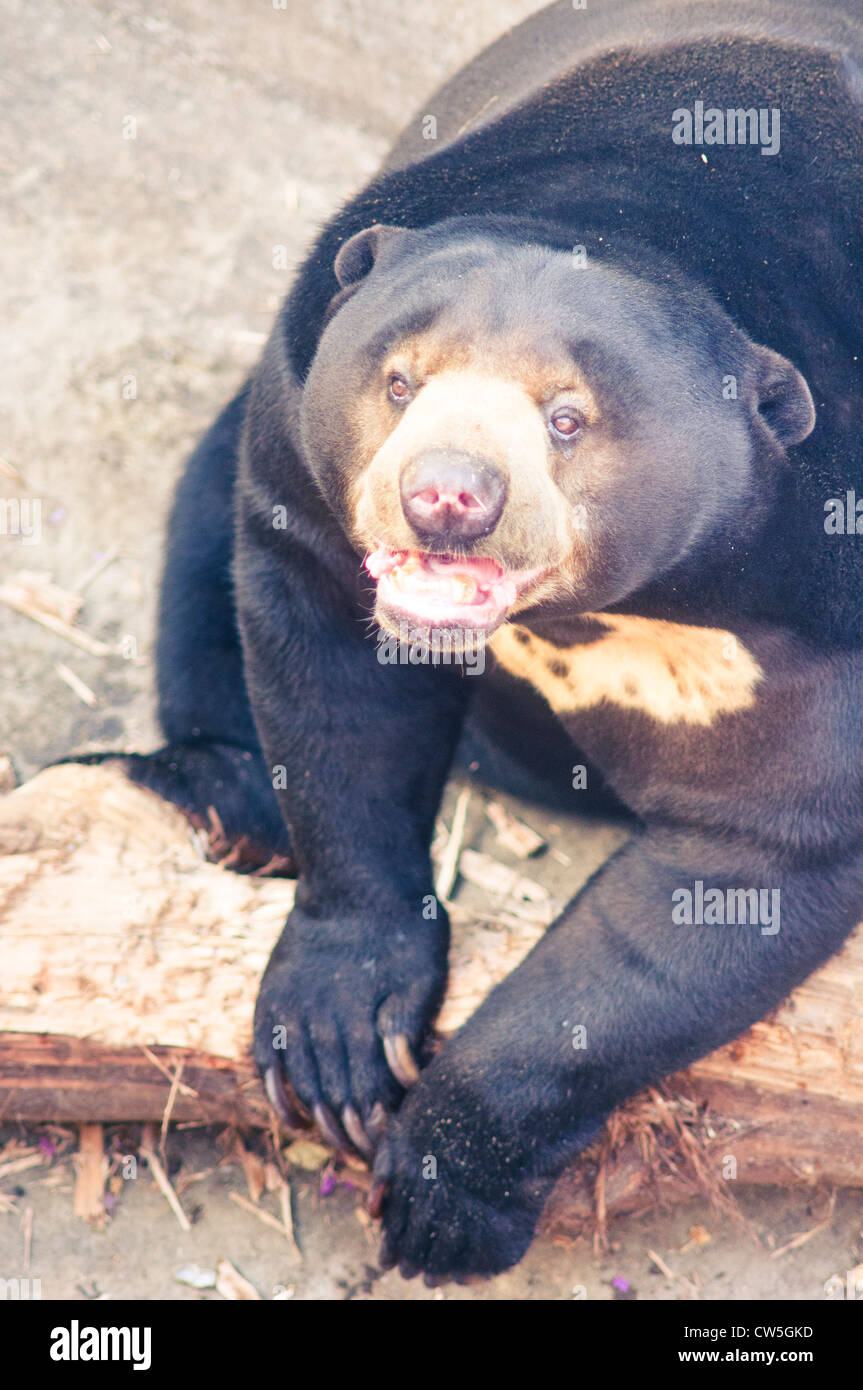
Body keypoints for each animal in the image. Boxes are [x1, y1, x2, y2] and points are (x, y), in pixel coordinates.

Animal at [72, 0, 863, 1281]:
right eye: (398, 381)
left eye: (568, 418)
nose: (444, 498)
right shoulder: (299, 439)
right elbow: (330, 692)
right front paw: (337, 1040)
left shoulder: (819, 601)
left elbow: (743, 859)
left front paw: (443, 1197)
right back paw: (208, 792)